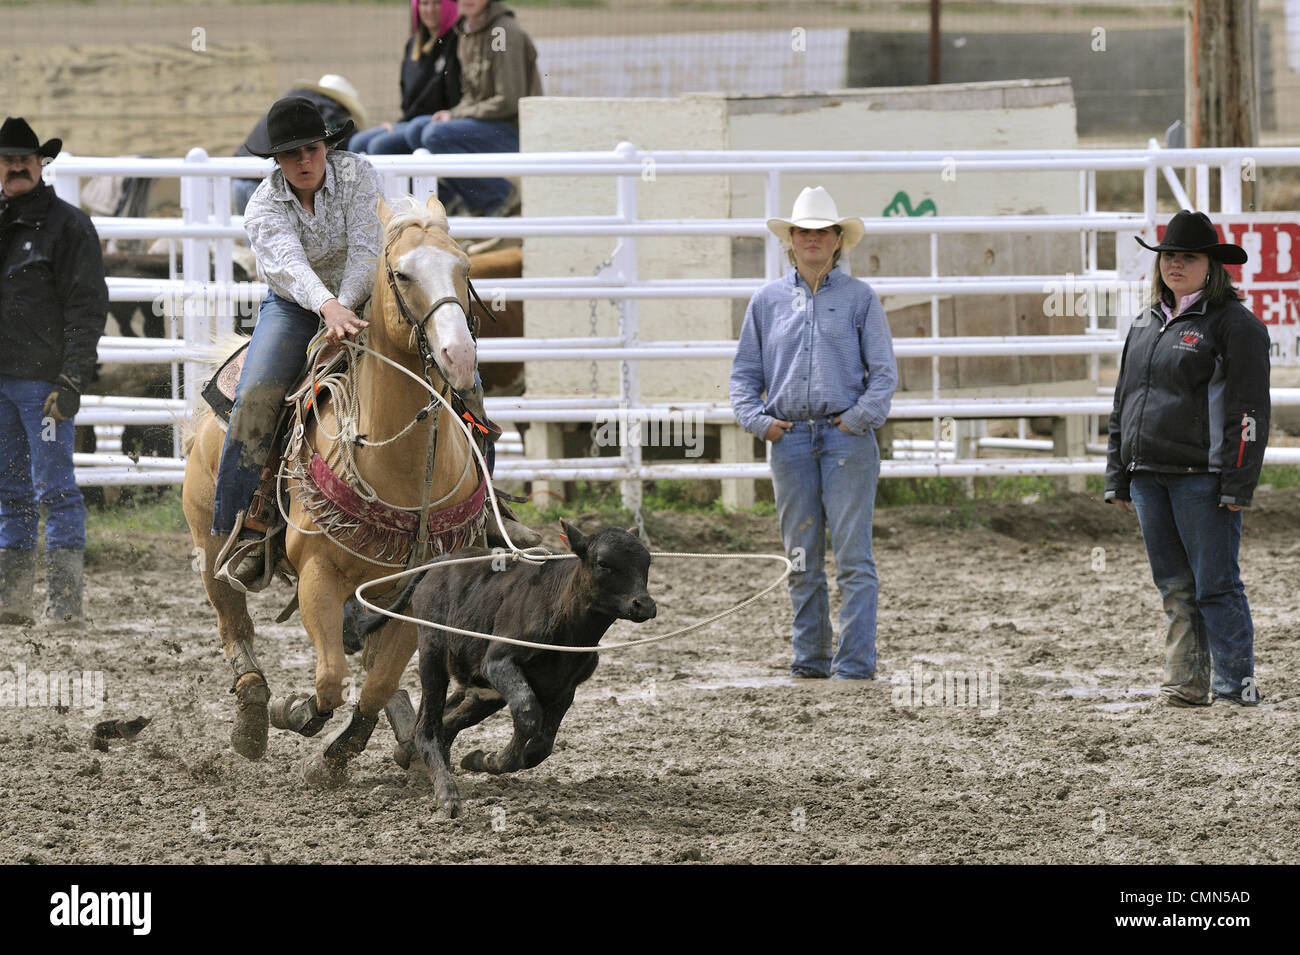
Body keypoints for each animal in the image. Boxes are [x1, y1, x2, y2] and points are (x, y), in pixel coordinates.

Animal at [183, 194, 483, 784]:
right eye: (401, 273)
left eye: (464, 268)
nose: (459, 356)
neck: (401, 465)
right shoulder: (318, 576)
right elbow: (329, 682)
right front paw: (295, 713)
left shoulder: (409, 594)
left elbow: (376, 684)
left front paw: (338, 754)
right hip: (210, 540)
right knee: (233, 620)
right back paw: (253, 715)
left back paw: (406, 743)